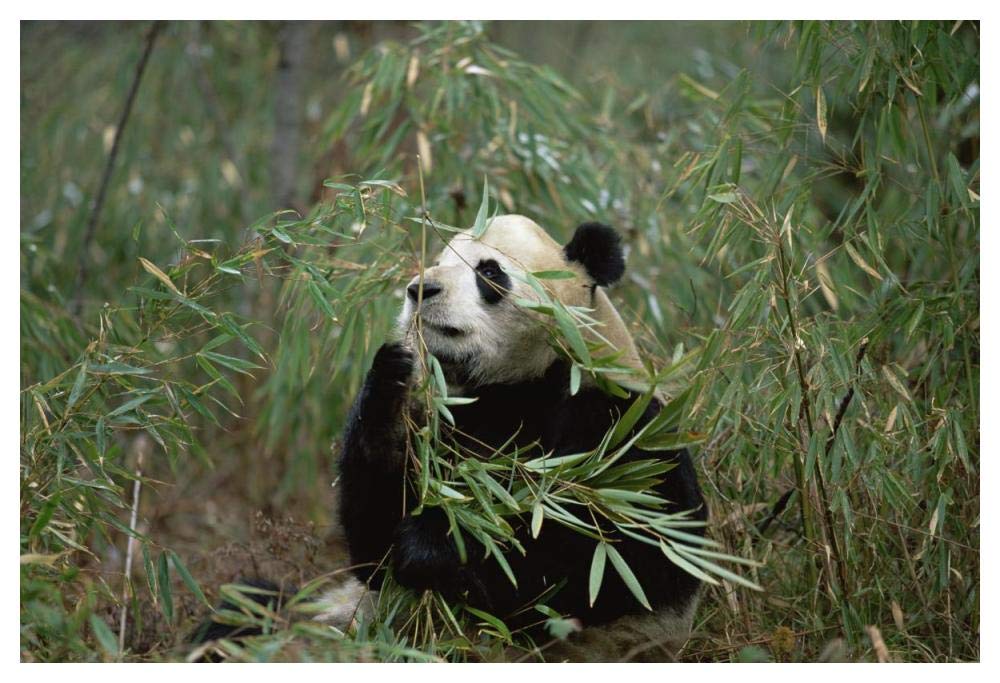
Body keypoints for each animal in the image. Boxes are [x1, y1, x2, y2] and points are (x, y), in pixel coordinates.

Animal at [331, 214, 707, 661]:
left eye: (489, 272)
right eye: (437, 261)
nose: (421, 289)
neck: (516, 385)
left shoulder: (619, 427)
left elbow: (616, 559)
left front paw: (434, 544)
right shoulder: (451, 425)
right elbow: (373, 549)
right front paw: (392, 375)